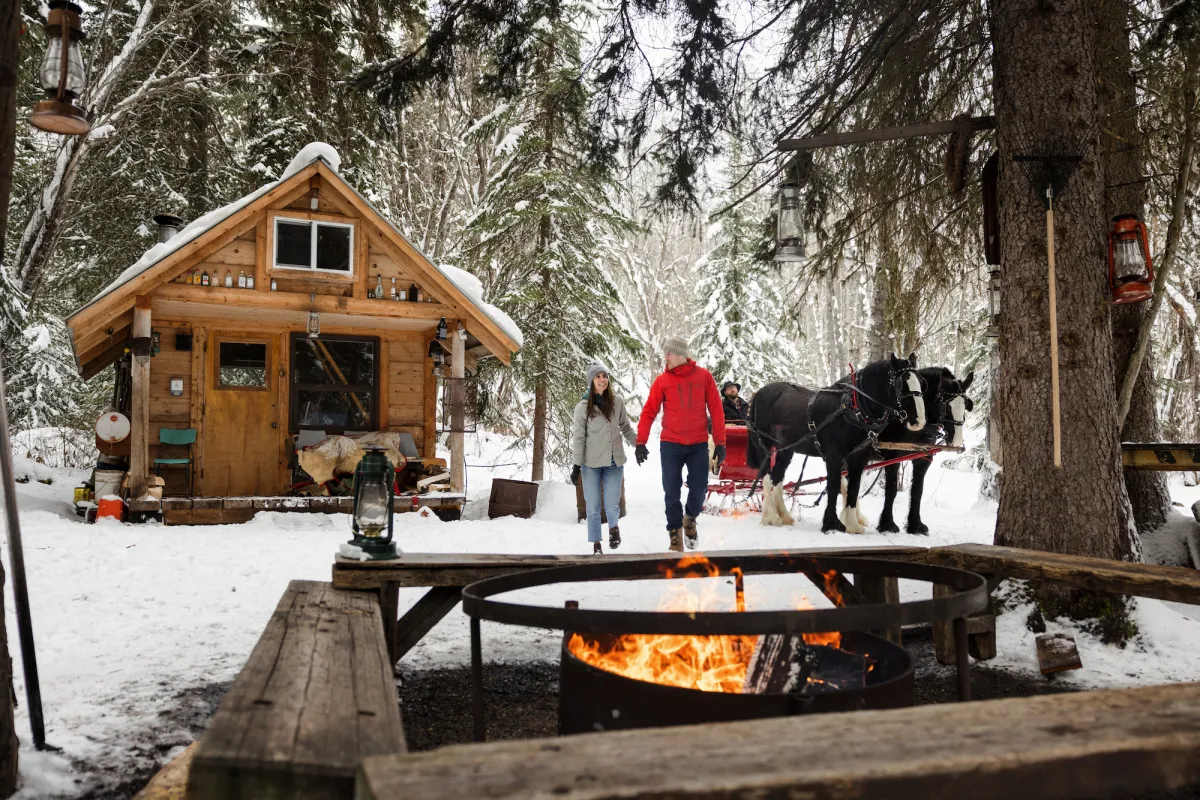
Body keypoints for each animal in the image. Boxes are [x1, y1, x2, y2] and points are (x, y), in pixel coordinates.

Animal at [744, 355, 921, 532]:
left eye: (921, 382)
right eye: (901, 384)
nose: (917, 421)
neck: (852, 409)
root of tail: (758, 393)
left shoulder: (858, 458)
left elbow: (853, 488)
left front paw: (852, 524)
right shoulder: (834, 457)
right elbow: (834, 487)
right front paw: (831, 524)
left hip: (785, 449)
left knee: (777, 478)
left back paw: (785, 516)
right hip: (765, 447)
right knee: (766, 478)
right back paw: (772, 517)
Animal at [864, 369, 974, 537]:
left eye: (965, 405)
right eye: (946, 406)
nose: (956, 441)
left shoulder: (923, 458)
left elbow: (917, 491)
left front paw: (915, 525)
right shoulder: (892, 456)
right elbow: (891, 490)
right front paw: (887, 524)